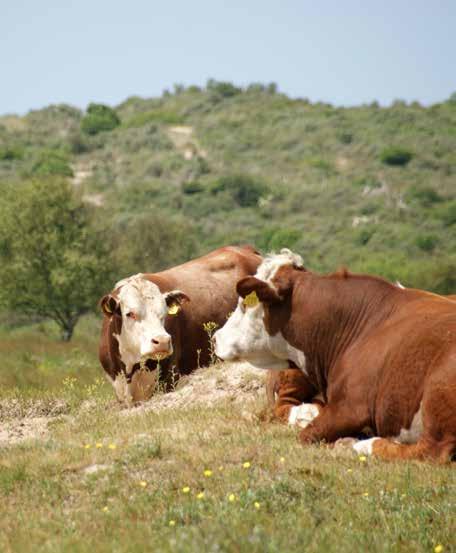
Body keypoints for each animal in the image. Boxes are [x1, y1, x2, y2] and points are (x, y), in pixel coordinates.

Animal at [214, 248, 456, 460]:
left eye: (244, 305)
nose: (216, 337)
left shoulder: (352, 406)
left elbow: (307, 435)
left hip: (436, 388)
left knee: (432, 451)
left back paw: (361, 445)